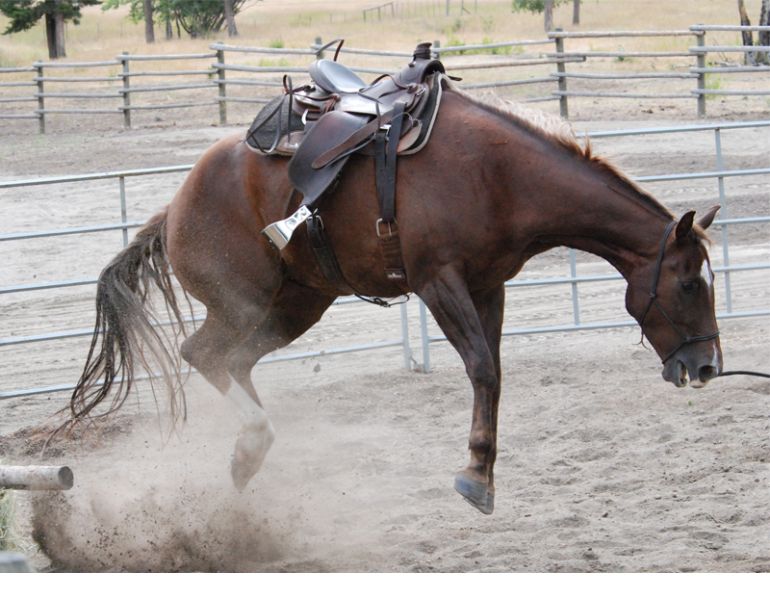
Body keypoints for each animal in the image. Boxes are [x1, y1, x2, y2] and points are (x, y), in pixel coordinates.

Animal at [68, 80, 723, 515]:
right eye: (689, 282)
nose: (708, 365)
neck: (500, 177)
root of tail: (176, 205)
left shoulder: (488, 286)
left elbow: (493, 372)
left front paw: (482, 472)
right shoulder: (439, 282)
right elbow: (482, 368)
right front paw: (475, 476)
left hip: (297, 305)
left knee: (233, 361)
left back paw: (246, 457)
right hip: (243, 302)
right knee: (203, 355)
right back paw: (250, 446)